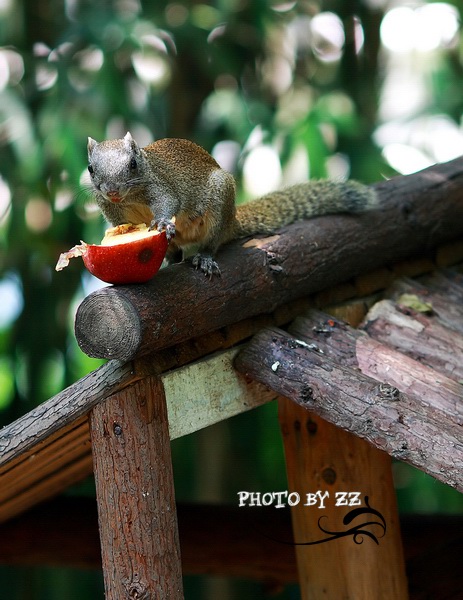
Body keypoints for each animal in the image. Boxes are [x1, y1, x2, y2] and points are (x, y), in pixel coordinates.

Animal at [87, 131, 376, 276]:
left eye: (133, 164)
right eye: (90, 169)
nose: (112, 191)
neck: (130, 197)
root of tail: (232, 221)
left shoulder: (160, 185)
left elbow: (168, 202)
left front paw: (161, 222)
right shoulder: (112, 209)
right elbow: (122, 224)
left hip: (219, 201)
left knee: (212, 243)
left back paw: (204, 257)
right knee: (177, 252)